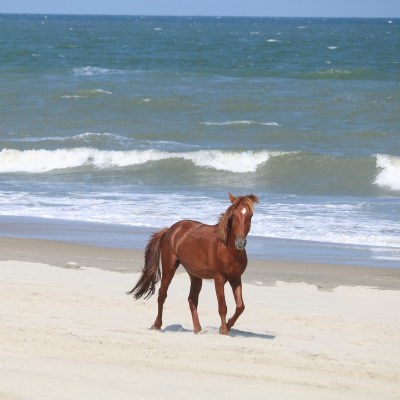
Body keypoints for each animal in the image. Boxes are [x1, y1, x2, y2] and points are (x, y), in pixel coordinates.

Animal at [128, 192, 260, 336]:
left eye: (250, 215)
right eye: (234, 215)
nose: (240, 243)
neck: (226, 248)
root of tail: (170, 230)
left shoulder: (235, 278)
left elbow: (240, 306)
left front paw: (226, 326)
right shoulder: (219, 278)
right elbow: (222, 306)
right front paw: (224, 331)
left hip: (195, 276)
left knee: (192, 299)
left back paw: (198, 329)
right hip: (169, 268)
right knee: (162, 295)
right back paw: (157, 325)